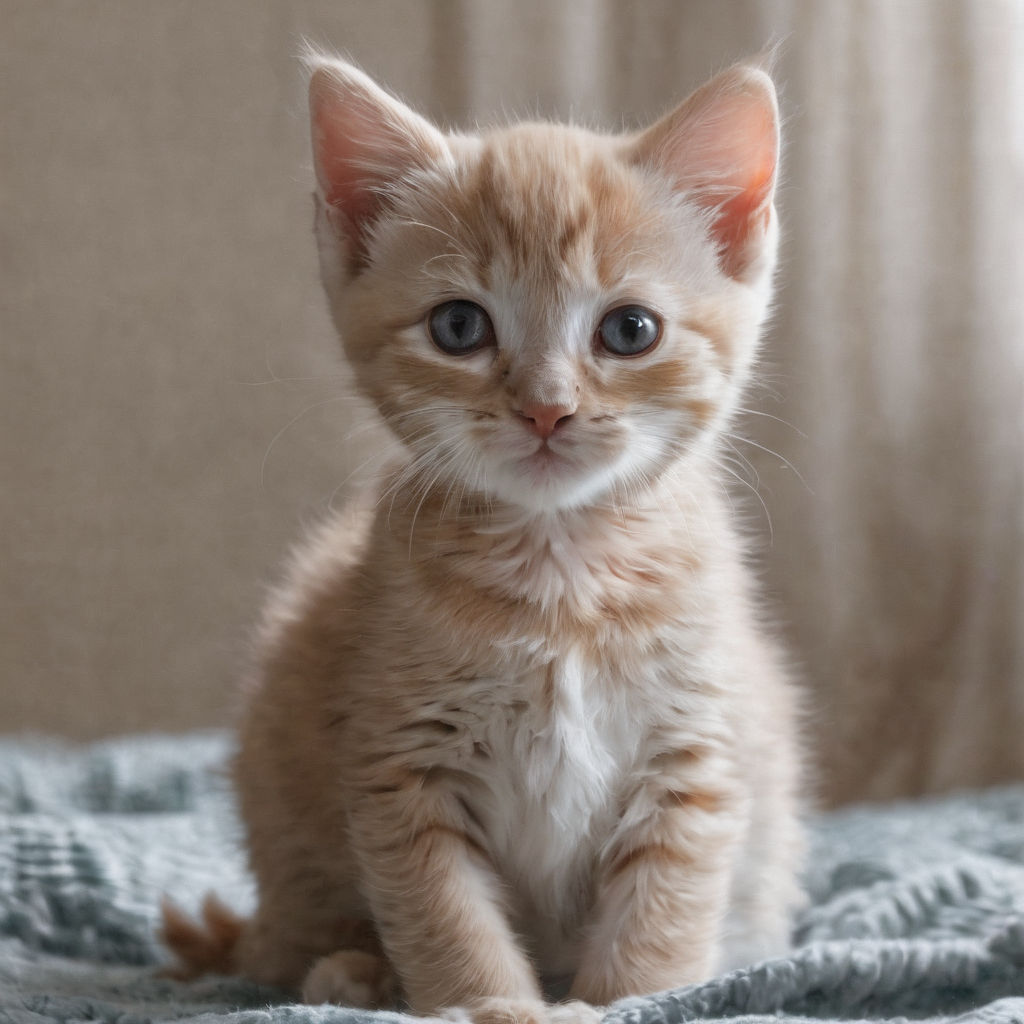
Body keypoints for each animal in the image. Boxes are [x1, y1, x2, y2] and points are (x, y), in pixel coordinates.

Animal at [163, 54, 802, 1024]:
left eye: (631, 330)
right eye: (459, 326)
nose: (545, 408)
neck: (560, 573)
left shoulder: (693, 755)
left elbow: (661, 916)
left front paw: (619, 1002)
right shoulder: (399, 765)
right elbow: (445, 913)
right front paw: (489, 1003)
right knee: (285, 943)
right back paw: (350, 971)